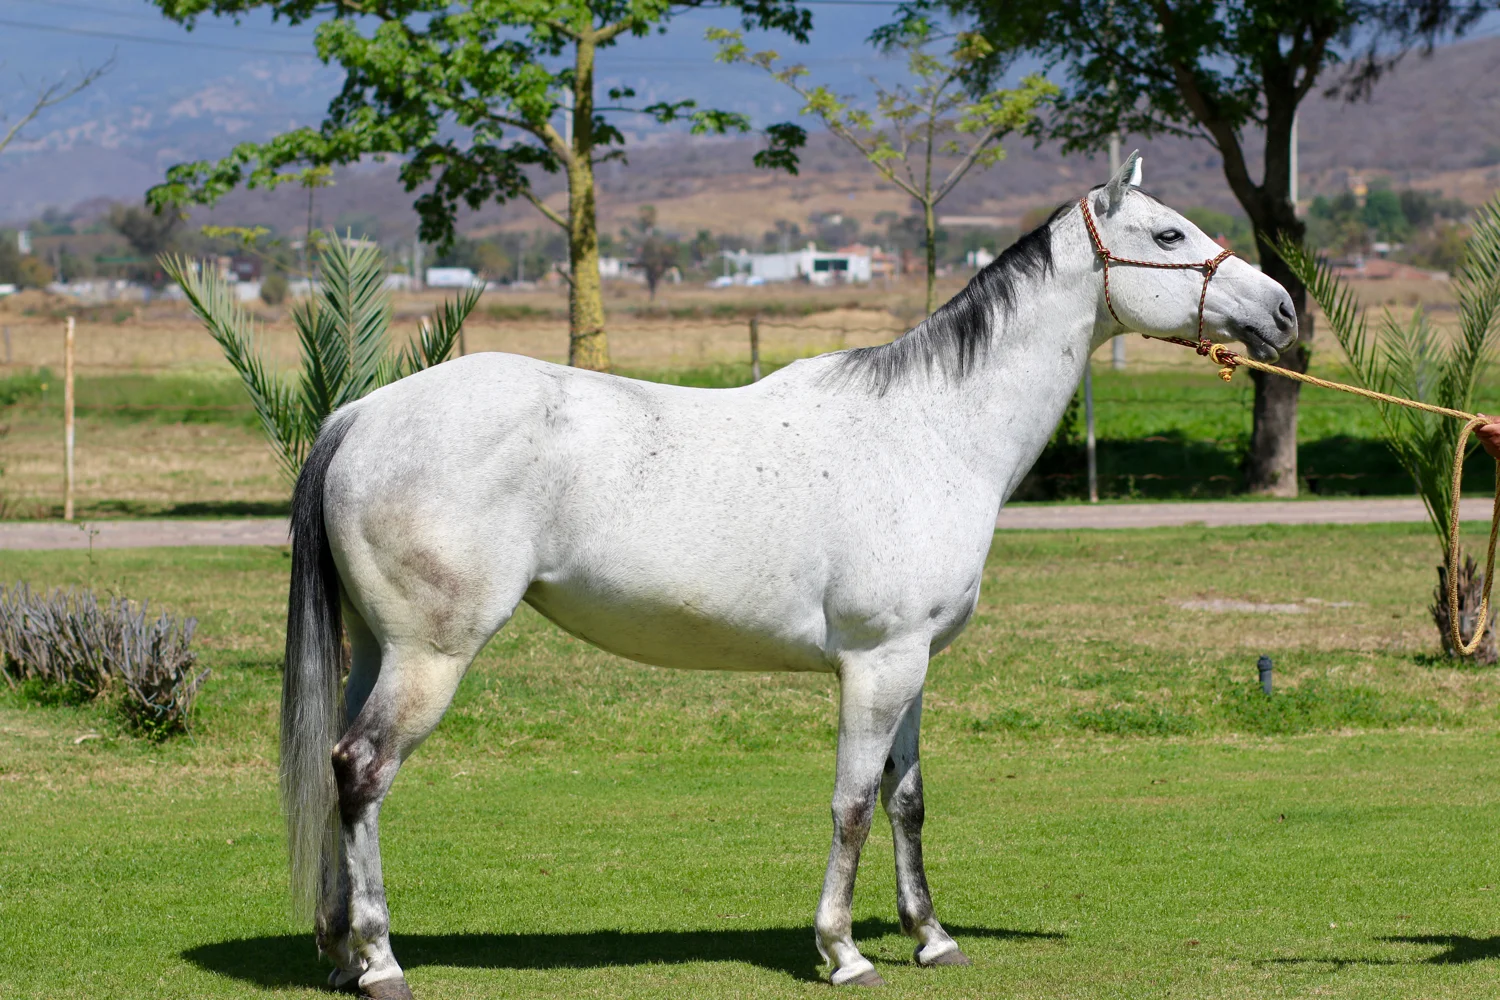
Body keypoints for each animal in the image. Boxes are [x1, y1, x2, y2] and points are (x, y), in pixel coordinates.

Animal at [281, 152, 1297, 998]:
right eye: (1168, 237)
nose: (1285, 310)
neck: (932, 431)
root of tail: (359, 415)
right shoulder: (877, 666)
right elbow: (852, 804)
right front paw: (842, 951)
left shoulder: (912, 665)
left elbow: (905, 799)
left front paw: (931, 938)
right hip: (431, 656)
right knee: (363, 771)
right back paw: (380, 962)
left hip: (376, 649)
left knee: (337, 766)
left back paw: (340, 952)